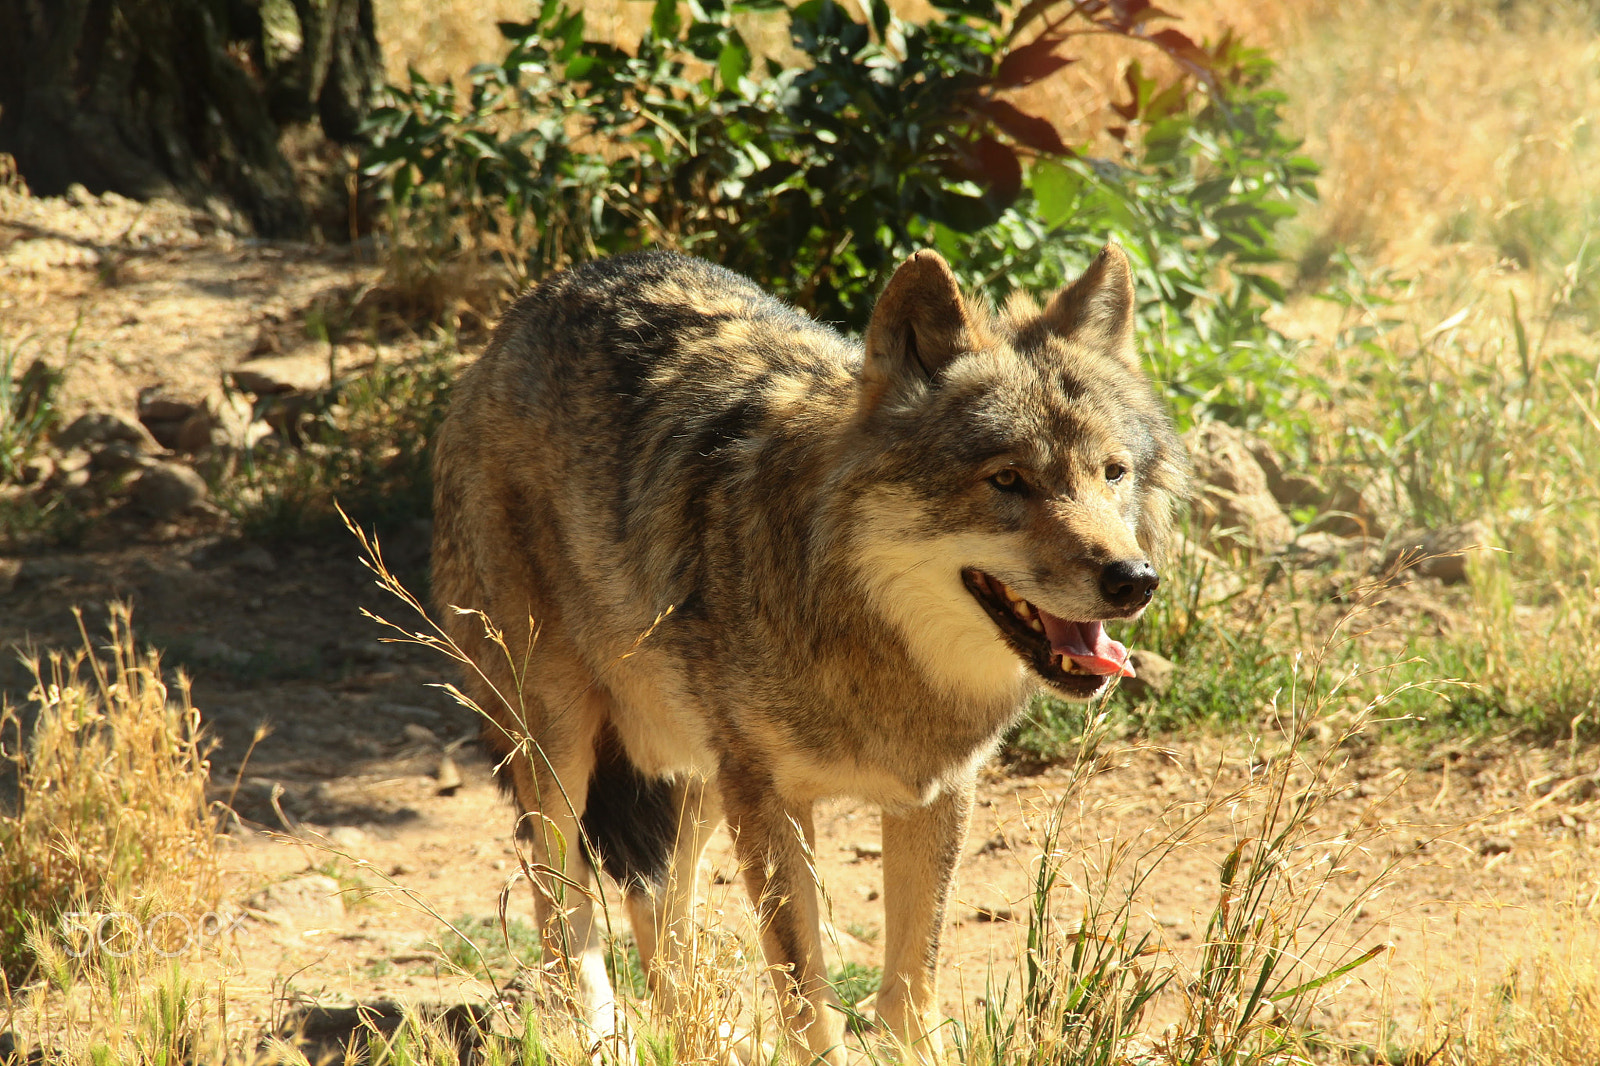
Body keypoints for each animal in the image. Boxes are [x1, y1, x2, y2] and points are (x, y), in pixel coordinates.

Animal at [430, 245, 1187, 1062]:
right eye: (1008, 480)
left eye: (1112, 473)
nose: (1133, 580)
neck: (875, 647)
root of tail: (542, 297)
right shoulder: (772, 803)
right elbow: (806, 997)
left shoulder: (936, 792)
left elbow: (910, 988)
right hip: (563, 741)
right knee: (560, 900)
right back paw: (598, 1032)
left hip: (700, 769)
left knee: (659, 899)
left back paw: (703, 1035)